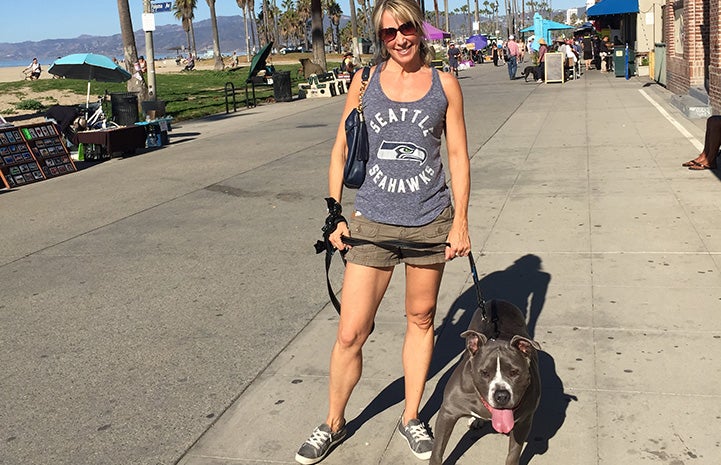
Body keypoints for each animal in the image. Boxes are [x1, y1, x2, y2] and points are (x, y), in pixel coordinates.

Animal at [428, 300, 540, 462]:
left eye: (514, 372)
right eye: (484, 373)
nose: (501, 395)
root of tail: (496, 300)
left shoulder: (524, 421)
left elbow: (513, 454)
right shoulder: (448, 412)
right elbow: (437, 451)